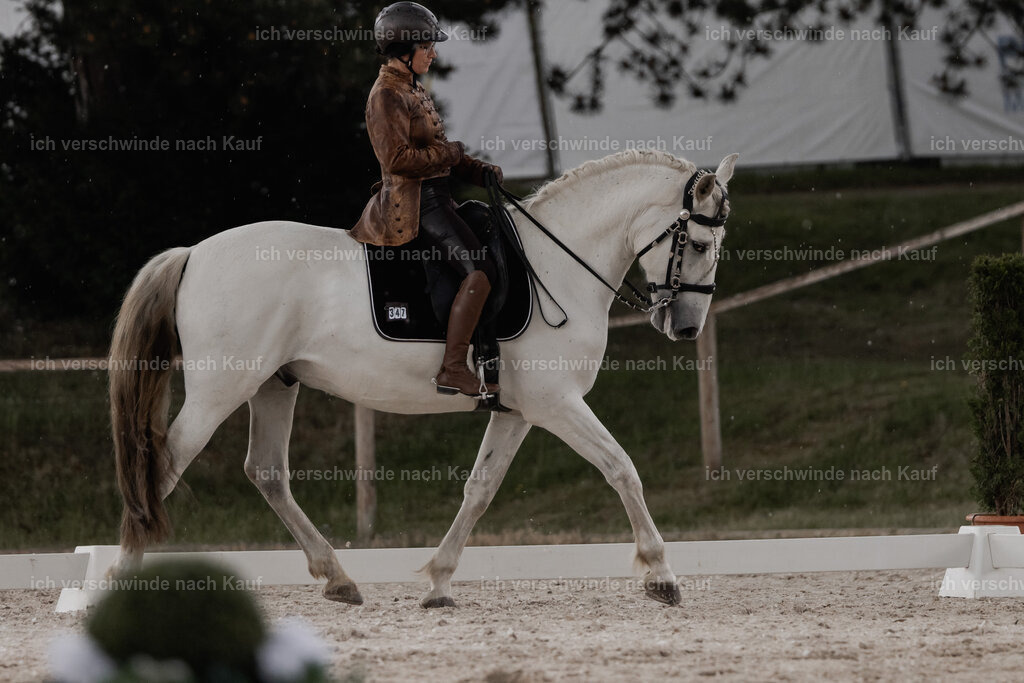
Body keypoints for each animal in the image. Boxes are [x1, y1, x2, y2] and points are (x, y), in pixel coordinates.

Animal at [109, 149, 737, 607]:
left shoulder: (517, 411)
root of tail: (194, 253)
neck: (557, 265)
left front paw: (438, 580)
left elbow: (480, 489)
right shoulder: (556, 403)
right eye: (700, 243)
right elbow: (621, 468)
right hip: (221, 389)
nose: (685, 328)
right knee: (163, 465)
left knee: (266, 473)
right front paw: (661, 575)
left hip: (272, 385)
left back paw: (338, 578)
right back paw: (122, 576)